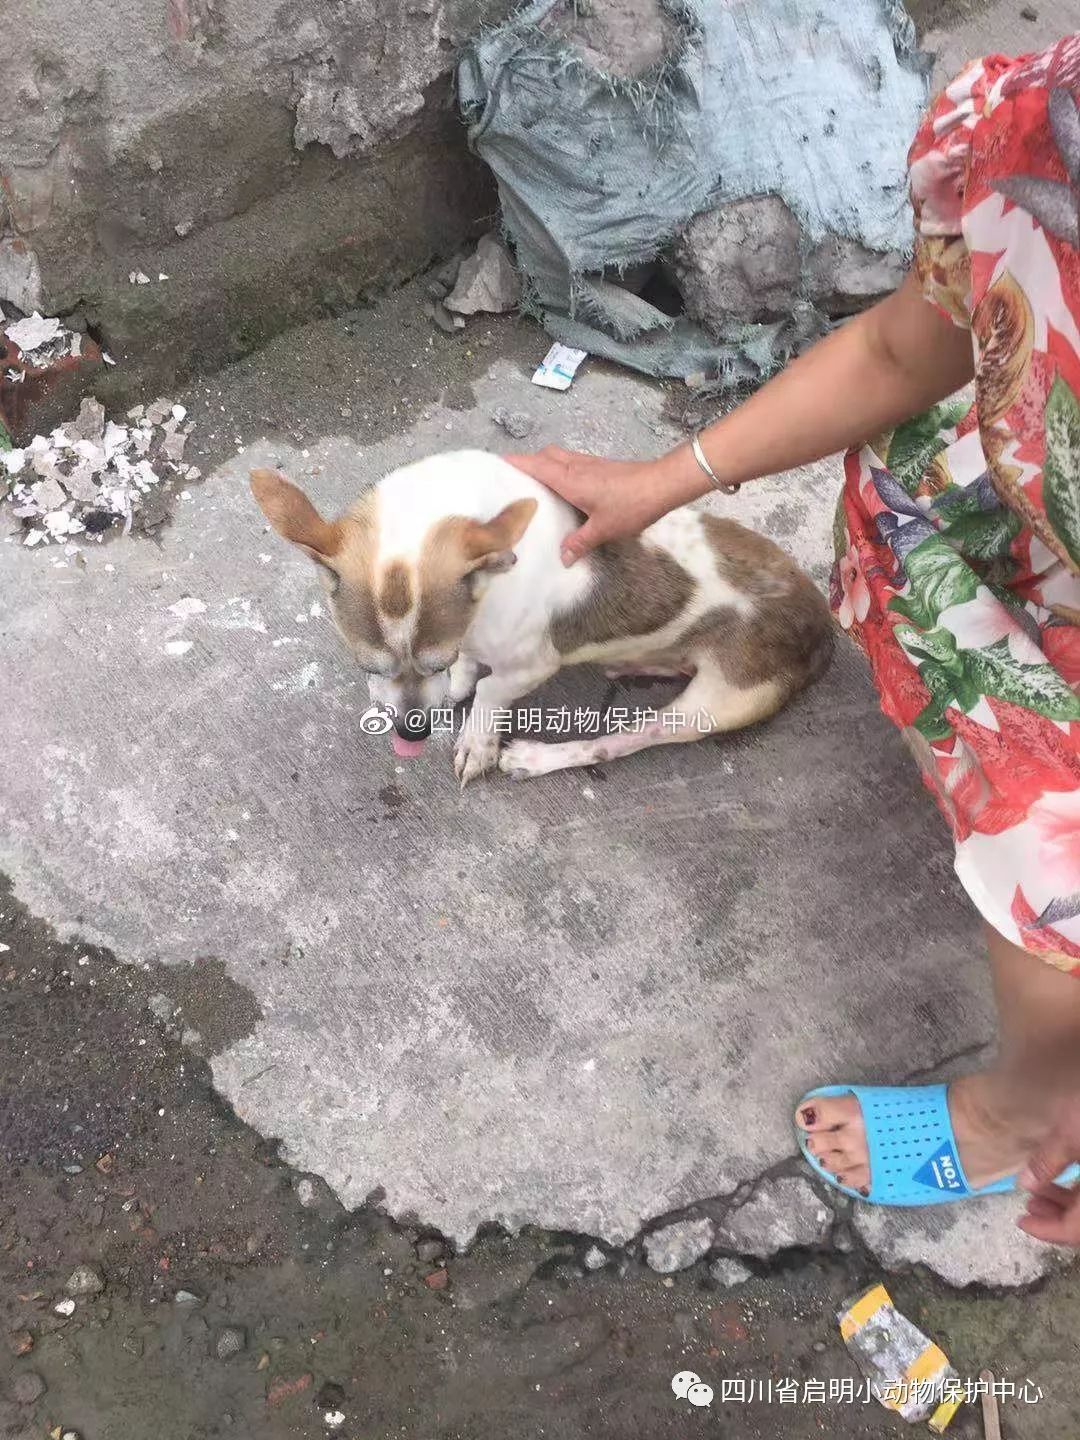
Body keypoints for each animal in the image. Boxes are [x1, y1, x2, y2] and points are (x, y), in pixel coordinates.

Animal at [251, 451, 832, 783]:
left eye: (432, 659)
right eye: (368, 667)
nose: (413, 732)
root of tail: (824, 629)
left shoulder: (531, 666)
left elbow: (490, 693)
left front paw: (477, 742)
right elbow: (470, 670)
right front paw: (456, 688)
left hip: (713, 704)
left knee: (618, 742)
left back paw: (535, 760)